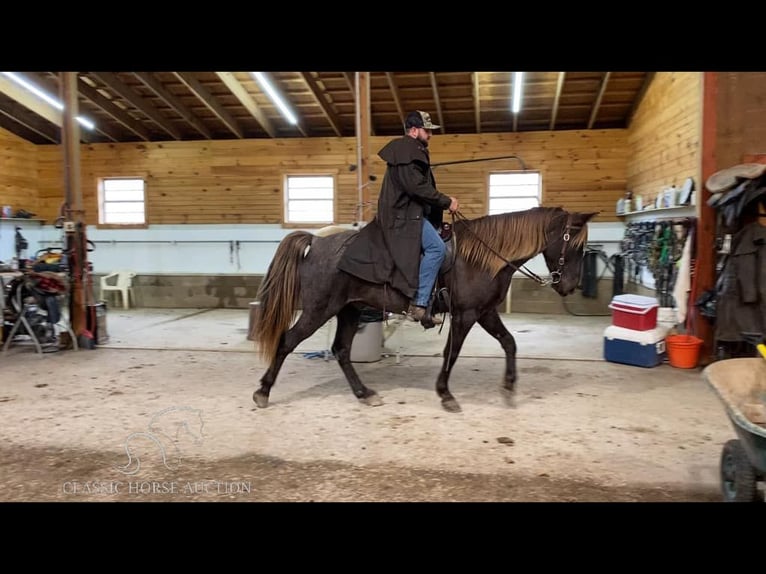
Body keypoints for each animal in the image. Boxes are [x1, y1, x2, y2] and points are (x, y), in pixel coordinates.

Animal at [252, 207, 600, 414]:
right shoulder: (466, 314)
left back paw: (365, 393)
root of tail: (317, 242)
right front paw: (445, 394)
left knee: (341, 350)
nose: (570, 286)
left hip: (349, 310)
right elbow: (451, 353)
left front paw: (509, 388)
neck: (482, 256)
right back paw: (263, 392)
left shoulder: (485, 312)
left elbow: (510, 343)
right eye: (576, 246)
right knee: (287, 341)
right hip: (318, 310)